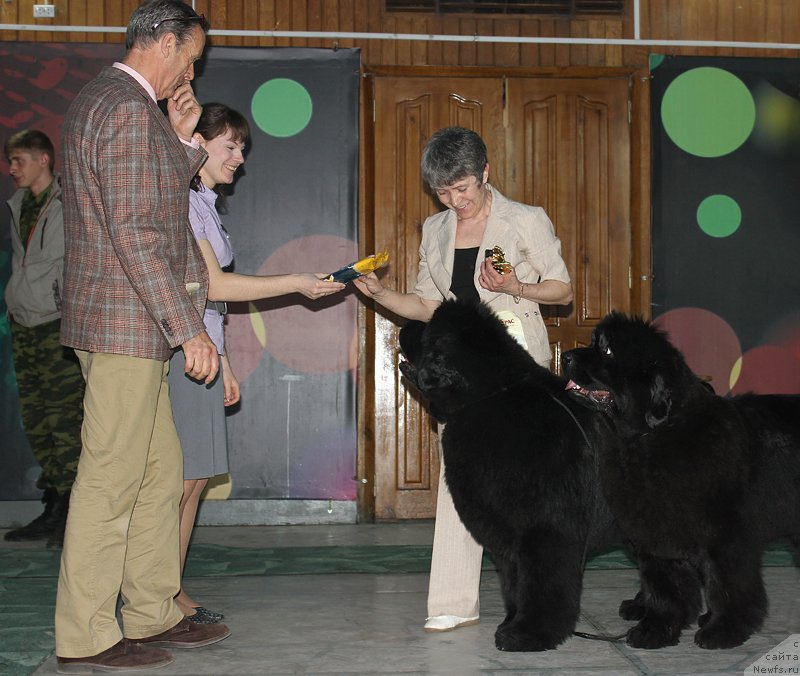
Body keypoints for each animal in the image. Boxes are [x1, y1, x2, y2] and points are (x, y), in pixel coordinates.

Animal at [398, 300, 624, 648]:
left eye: (426, 333)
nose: (402, 326)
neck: (490, 396)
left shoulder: (546, 529)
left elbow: (543, 581)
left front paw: (529, 633)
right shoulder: (507, 531)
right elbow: (516, 581)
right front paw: (511, 622)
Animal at [560, 312, 800, 648]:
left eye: (607, 350)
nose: (566, 356)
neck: (649, 438)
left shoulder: (725, 539)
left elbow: (726, 586)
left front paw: (723, 631)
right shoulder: (656, 536)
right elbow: (665, 588)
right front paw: (656, 629)